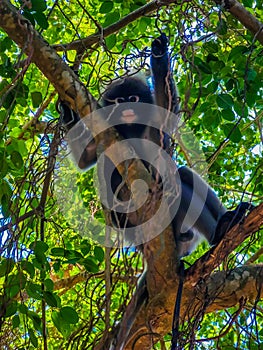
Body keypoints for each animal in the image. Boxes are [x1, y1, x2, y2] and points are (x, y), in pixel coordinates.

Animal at [58, 32, 253, 258]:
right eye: (119, 100)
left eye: (133, 98)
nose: (127, 108)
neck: (131, 128)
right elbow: (85, 158)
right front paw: (67, 112)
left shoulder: (153, 122)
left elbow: (166, 111)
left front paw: (159, 53)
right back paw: (218, 232)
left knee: (182, 175)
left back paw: (227, 223)